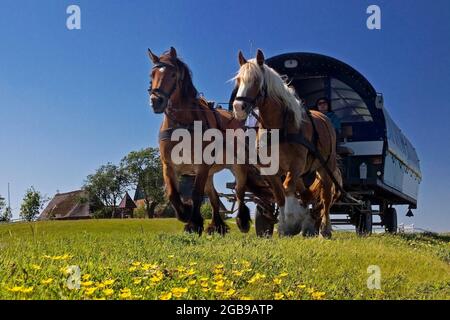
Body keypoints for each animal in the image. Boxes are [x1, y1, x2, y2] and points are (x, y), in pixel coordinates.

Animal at [148, 47, 268, 235]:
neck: (182, 124)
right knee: (214, 196)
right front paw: (185, 213)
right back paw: (217, 224)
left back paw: (242, 220)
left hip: (237, 165)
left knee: (240, 191)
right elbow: (172, 193)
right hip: (210, 173)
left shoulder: (202, 165)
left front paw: (193, 223)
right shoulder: (168, 165)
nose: (156, 101)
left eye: (173, 74)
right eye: (151, 75)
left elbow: (196, 193)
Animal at [232, 49, 342, 238]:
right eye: (239, 80)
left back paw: (324, 228)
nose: (238, 107)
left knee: (326, 195)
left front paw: (291, 221)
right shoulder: (270, 169)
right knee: (305, 193)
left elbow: (287, 187)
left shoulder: (296, 164)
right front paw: (284, 226)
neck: (278, 128)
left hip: (326, 167)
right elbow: (279, 194)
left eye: (257, 80)